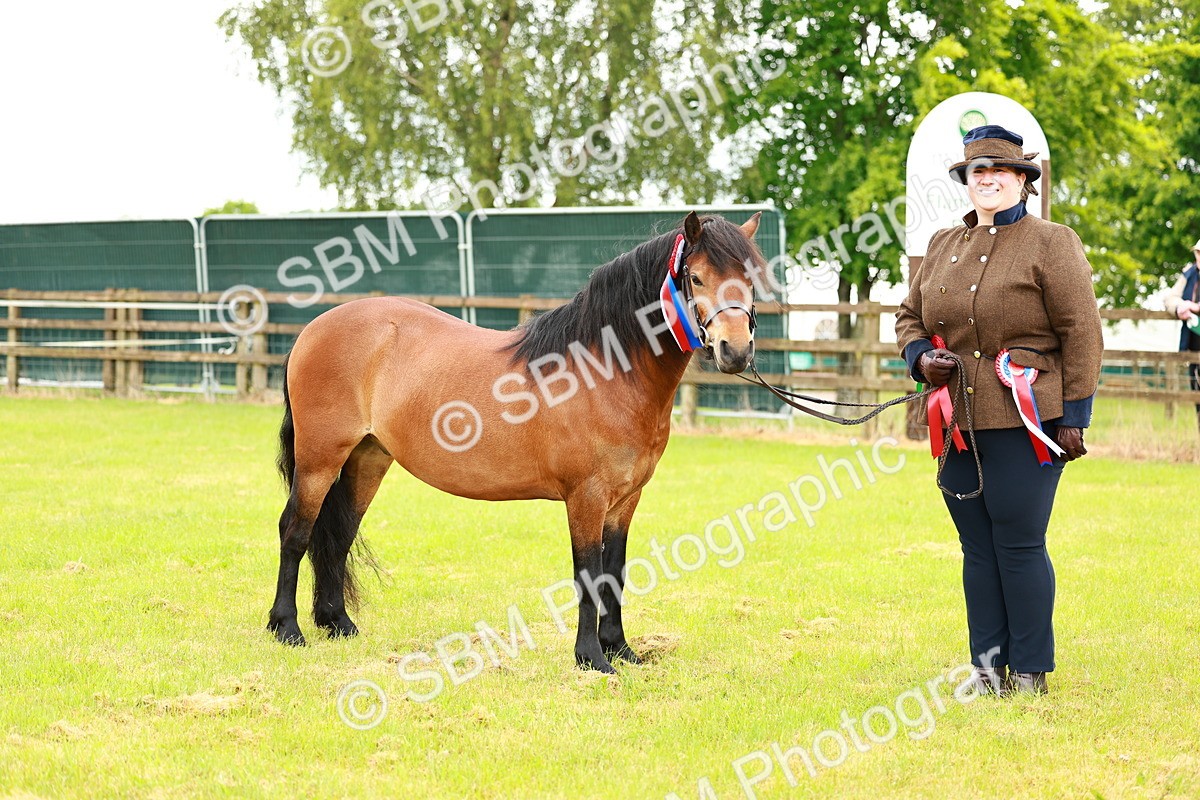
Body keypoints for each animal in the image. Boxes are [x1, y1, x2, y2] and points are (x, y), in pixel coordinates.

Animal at [268, 211, 765, 673]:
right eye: (696, 277)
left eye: (750, 280)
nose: (735, 351)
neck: (603, 373)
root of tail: (313, 329)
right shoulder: (586, 497)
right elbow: (588, 573)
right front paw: (591, 658)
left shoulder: (625, 500)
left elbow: (615, 573)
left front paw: (621, 650)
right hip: (319, 460)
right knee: (295, 531)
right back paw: (287, 628)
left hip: (367, 458)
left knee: (339, 533)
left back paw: (338, 623)